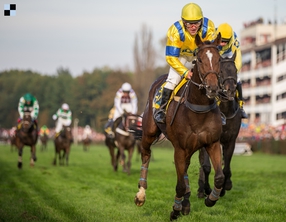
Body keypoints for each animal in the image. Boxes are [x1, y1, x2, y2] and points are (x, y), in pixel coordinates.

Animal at [134, 33, 226, 220]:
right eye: (199, 59)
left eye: (219, 59)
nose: (212, 88)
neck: (198, 108)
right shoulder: (179, 149)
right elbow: (180, 185)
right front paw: (175, 210)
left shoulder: (212, 143)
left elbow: (219, 177)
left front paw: (210, 199)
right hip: (149, 133)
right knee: (146, 154)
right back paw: (141, 194)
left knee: (185, 170)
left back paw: (186, 203)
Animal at [198, 51, 242, 198]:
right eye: (221, 71)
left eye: (235, 70)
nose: (230, 90)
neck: (225, 113)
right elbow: (206, 166)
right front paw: (206, 189)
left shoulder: (231, 140)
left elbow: (226, 167)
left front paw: (224, 187)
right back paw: (200, 189)